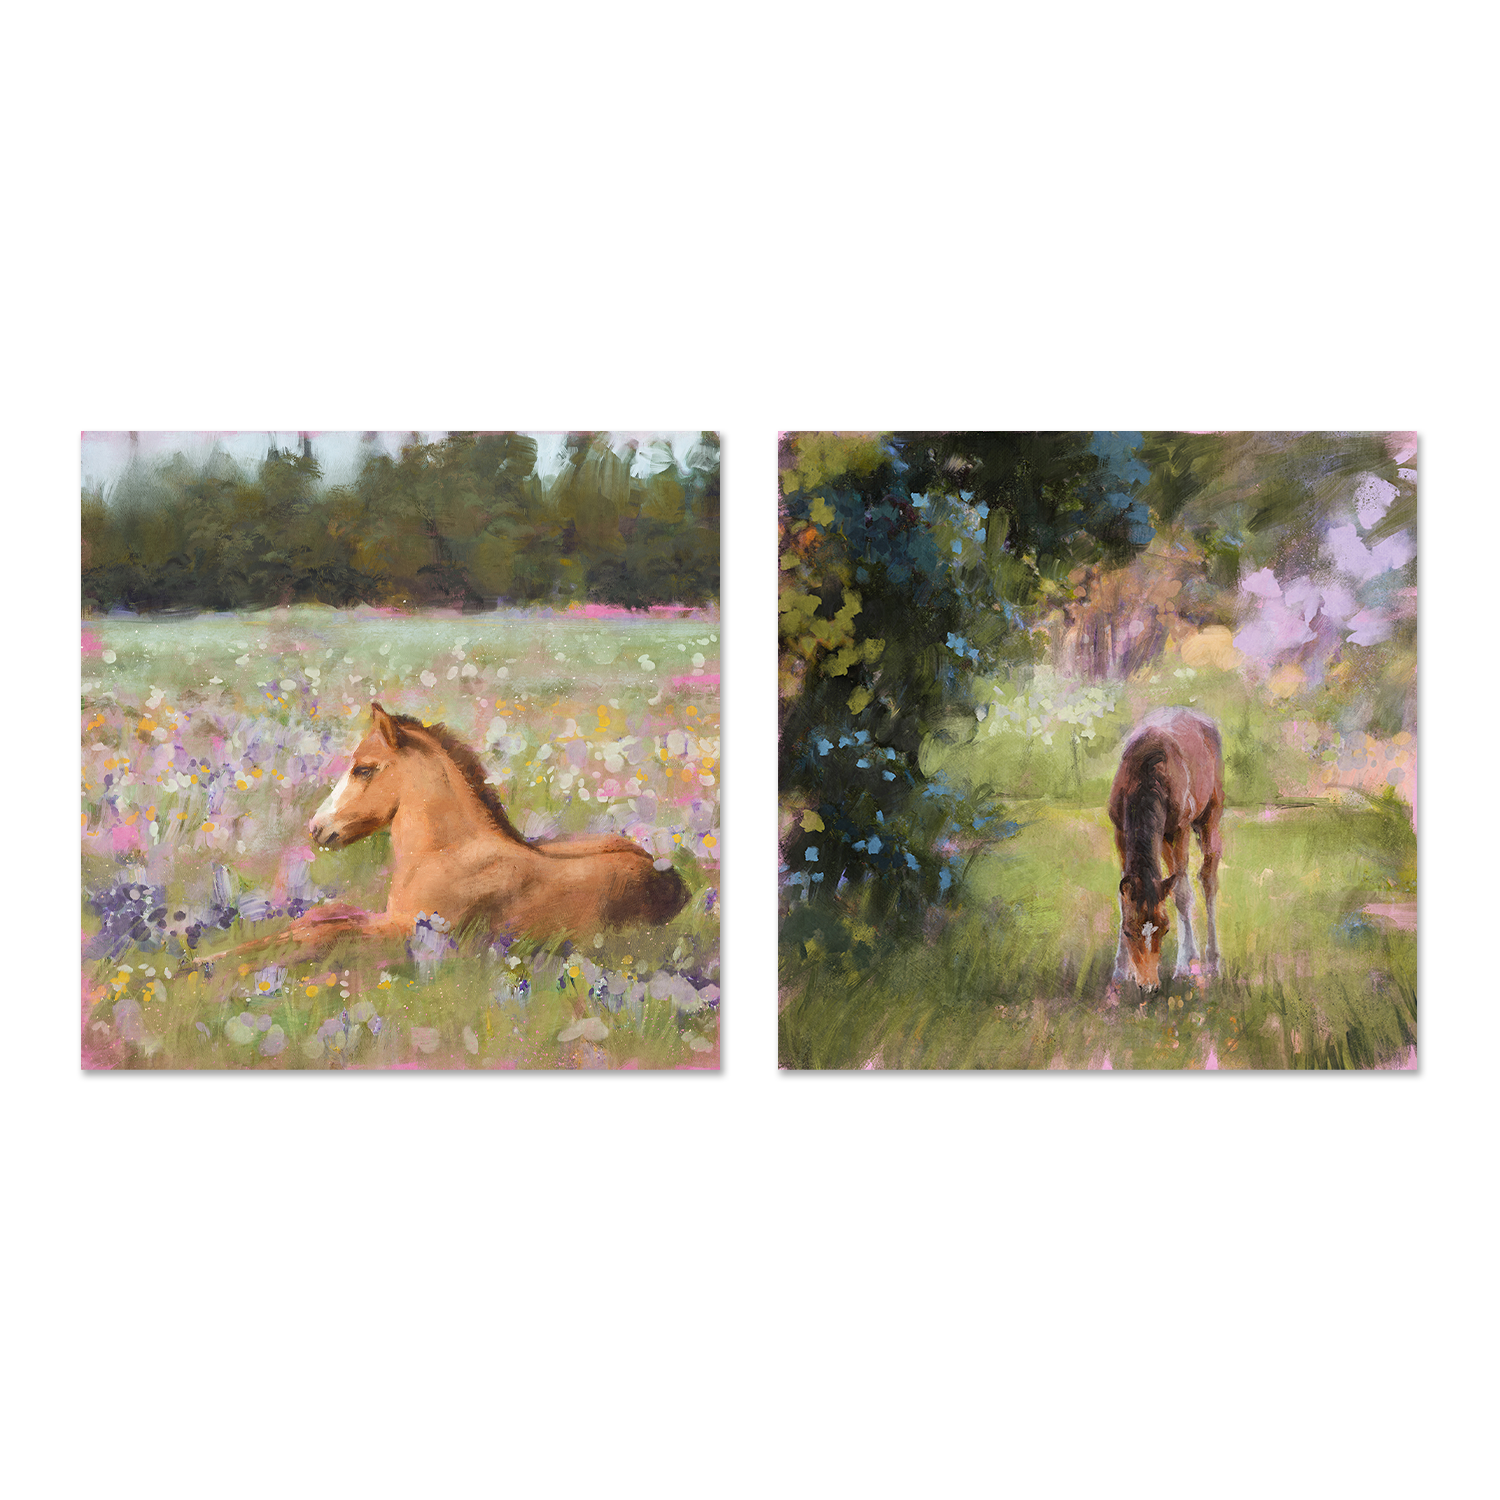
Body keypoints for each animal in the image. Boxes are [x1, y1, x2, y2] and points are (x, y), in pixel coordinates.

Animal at [220, 703, 690, 964]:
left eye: (365, 769)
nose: (317, 828)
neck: (448, 854)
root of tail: (672, 880)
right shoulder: (388, 918)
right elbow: (316, 921)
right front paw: (213, 959)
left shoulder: (413, 934)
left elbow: (324, 933)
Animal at [1107, 707, 1224, 992]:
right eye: (1128, 931)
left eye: (1165, 929)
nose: (1149, 986)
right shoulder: (1120, 831)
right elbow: (1123, 898)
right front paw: (1120, 971)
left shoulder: (1179, 830)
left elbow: (1182, 894)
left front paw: (1185, 967)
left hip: (1210, 816)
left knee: (1207, 879)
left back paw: (1212, 961)